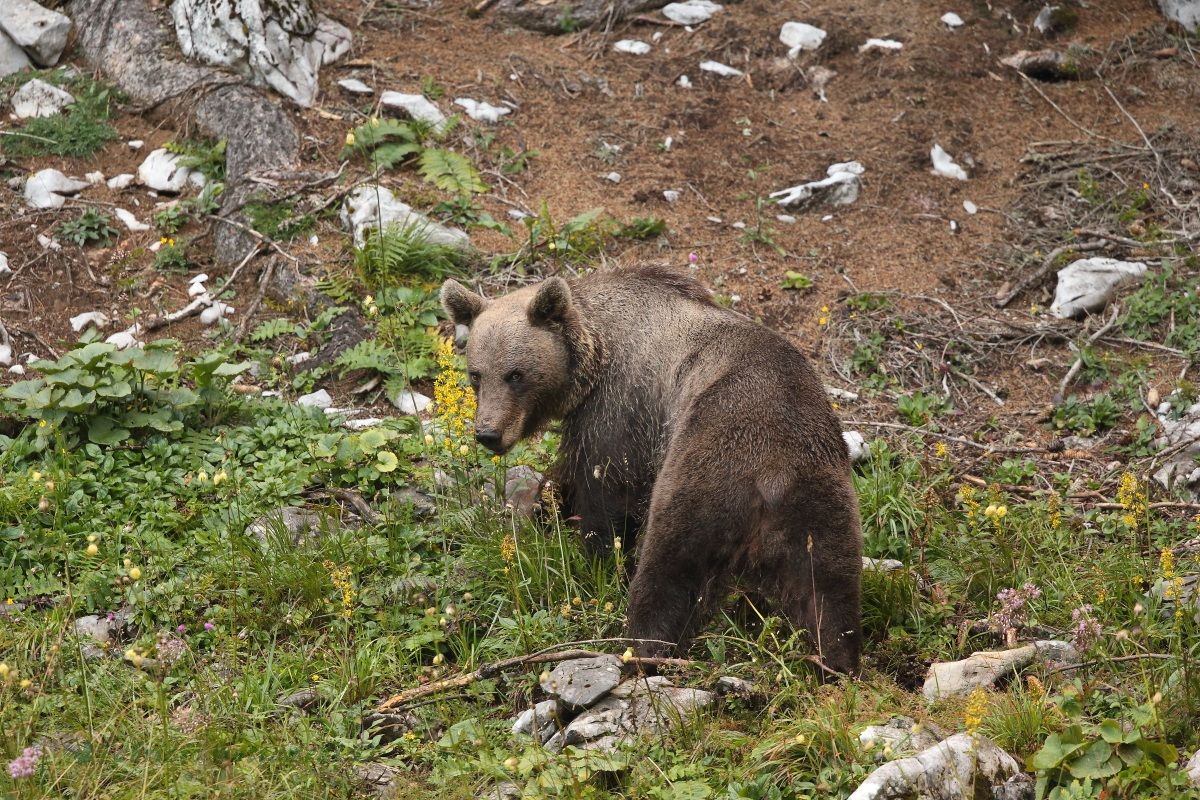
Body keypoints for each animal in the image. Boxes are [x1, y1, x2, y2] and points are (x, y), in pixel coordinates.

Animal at [440, 265, 863, 676]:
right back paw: (838, 662)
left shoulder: (621, 408)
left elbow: (605, 495)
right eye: (476, 374)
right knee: (829, 586)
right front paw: (544, 509)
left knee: (668, 565)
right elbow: (569, 474)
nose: (488, 433)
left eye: (516, 374)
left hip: (703, 466)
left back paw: (641, 650)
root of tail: (771, 474)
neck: (595, 353)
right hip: (819, 493)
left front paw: (594, 559)